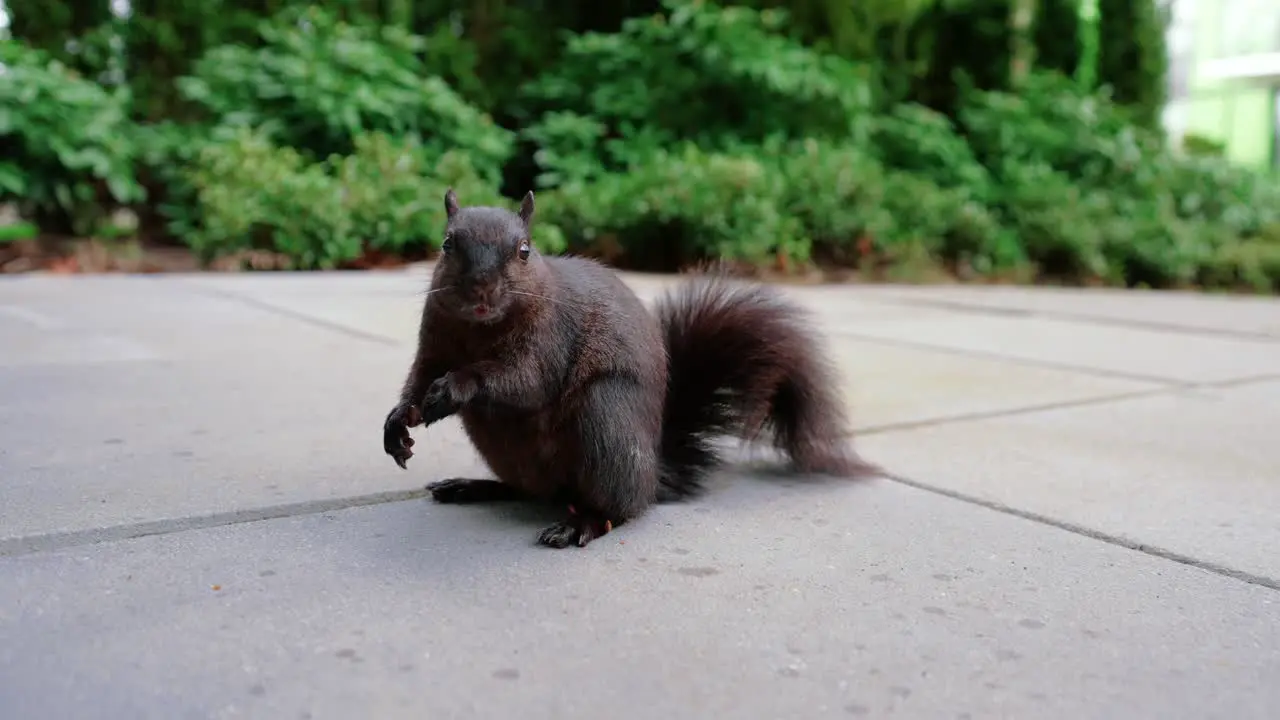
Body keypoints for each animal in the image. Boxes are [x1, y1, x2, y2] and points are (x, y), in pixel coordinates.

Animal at [381, 188, 880, 545]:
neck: (480, 330)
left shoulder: (550, 339)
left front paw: (456, 386)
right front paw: (398, 421)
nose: (481, 291)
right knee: (532, 489)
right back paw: (474, 486)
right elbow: (418, 377)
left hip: (605, 419)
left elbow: (526, 381)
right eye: (447, 244)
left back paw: (582, 524)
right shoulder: (434, 341)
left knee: (620, 508)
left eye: (524, 250)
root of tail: (652, 476)